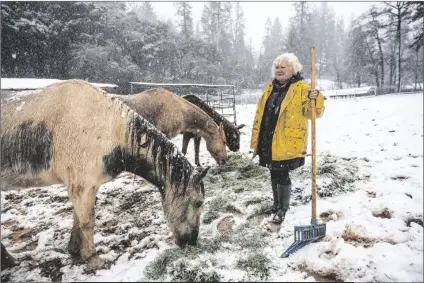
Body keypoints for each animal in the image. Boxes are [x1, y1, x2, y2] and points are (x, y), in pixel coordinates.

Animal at [0, 81, 210, 270]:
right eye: (198, 203)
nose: (191, 242)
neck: (108, 129)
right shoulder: (82, 186)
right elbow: (87, 222)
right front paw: (93, 259)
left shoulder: (86, 186)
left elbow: (78, 219)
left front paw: (74, 251)